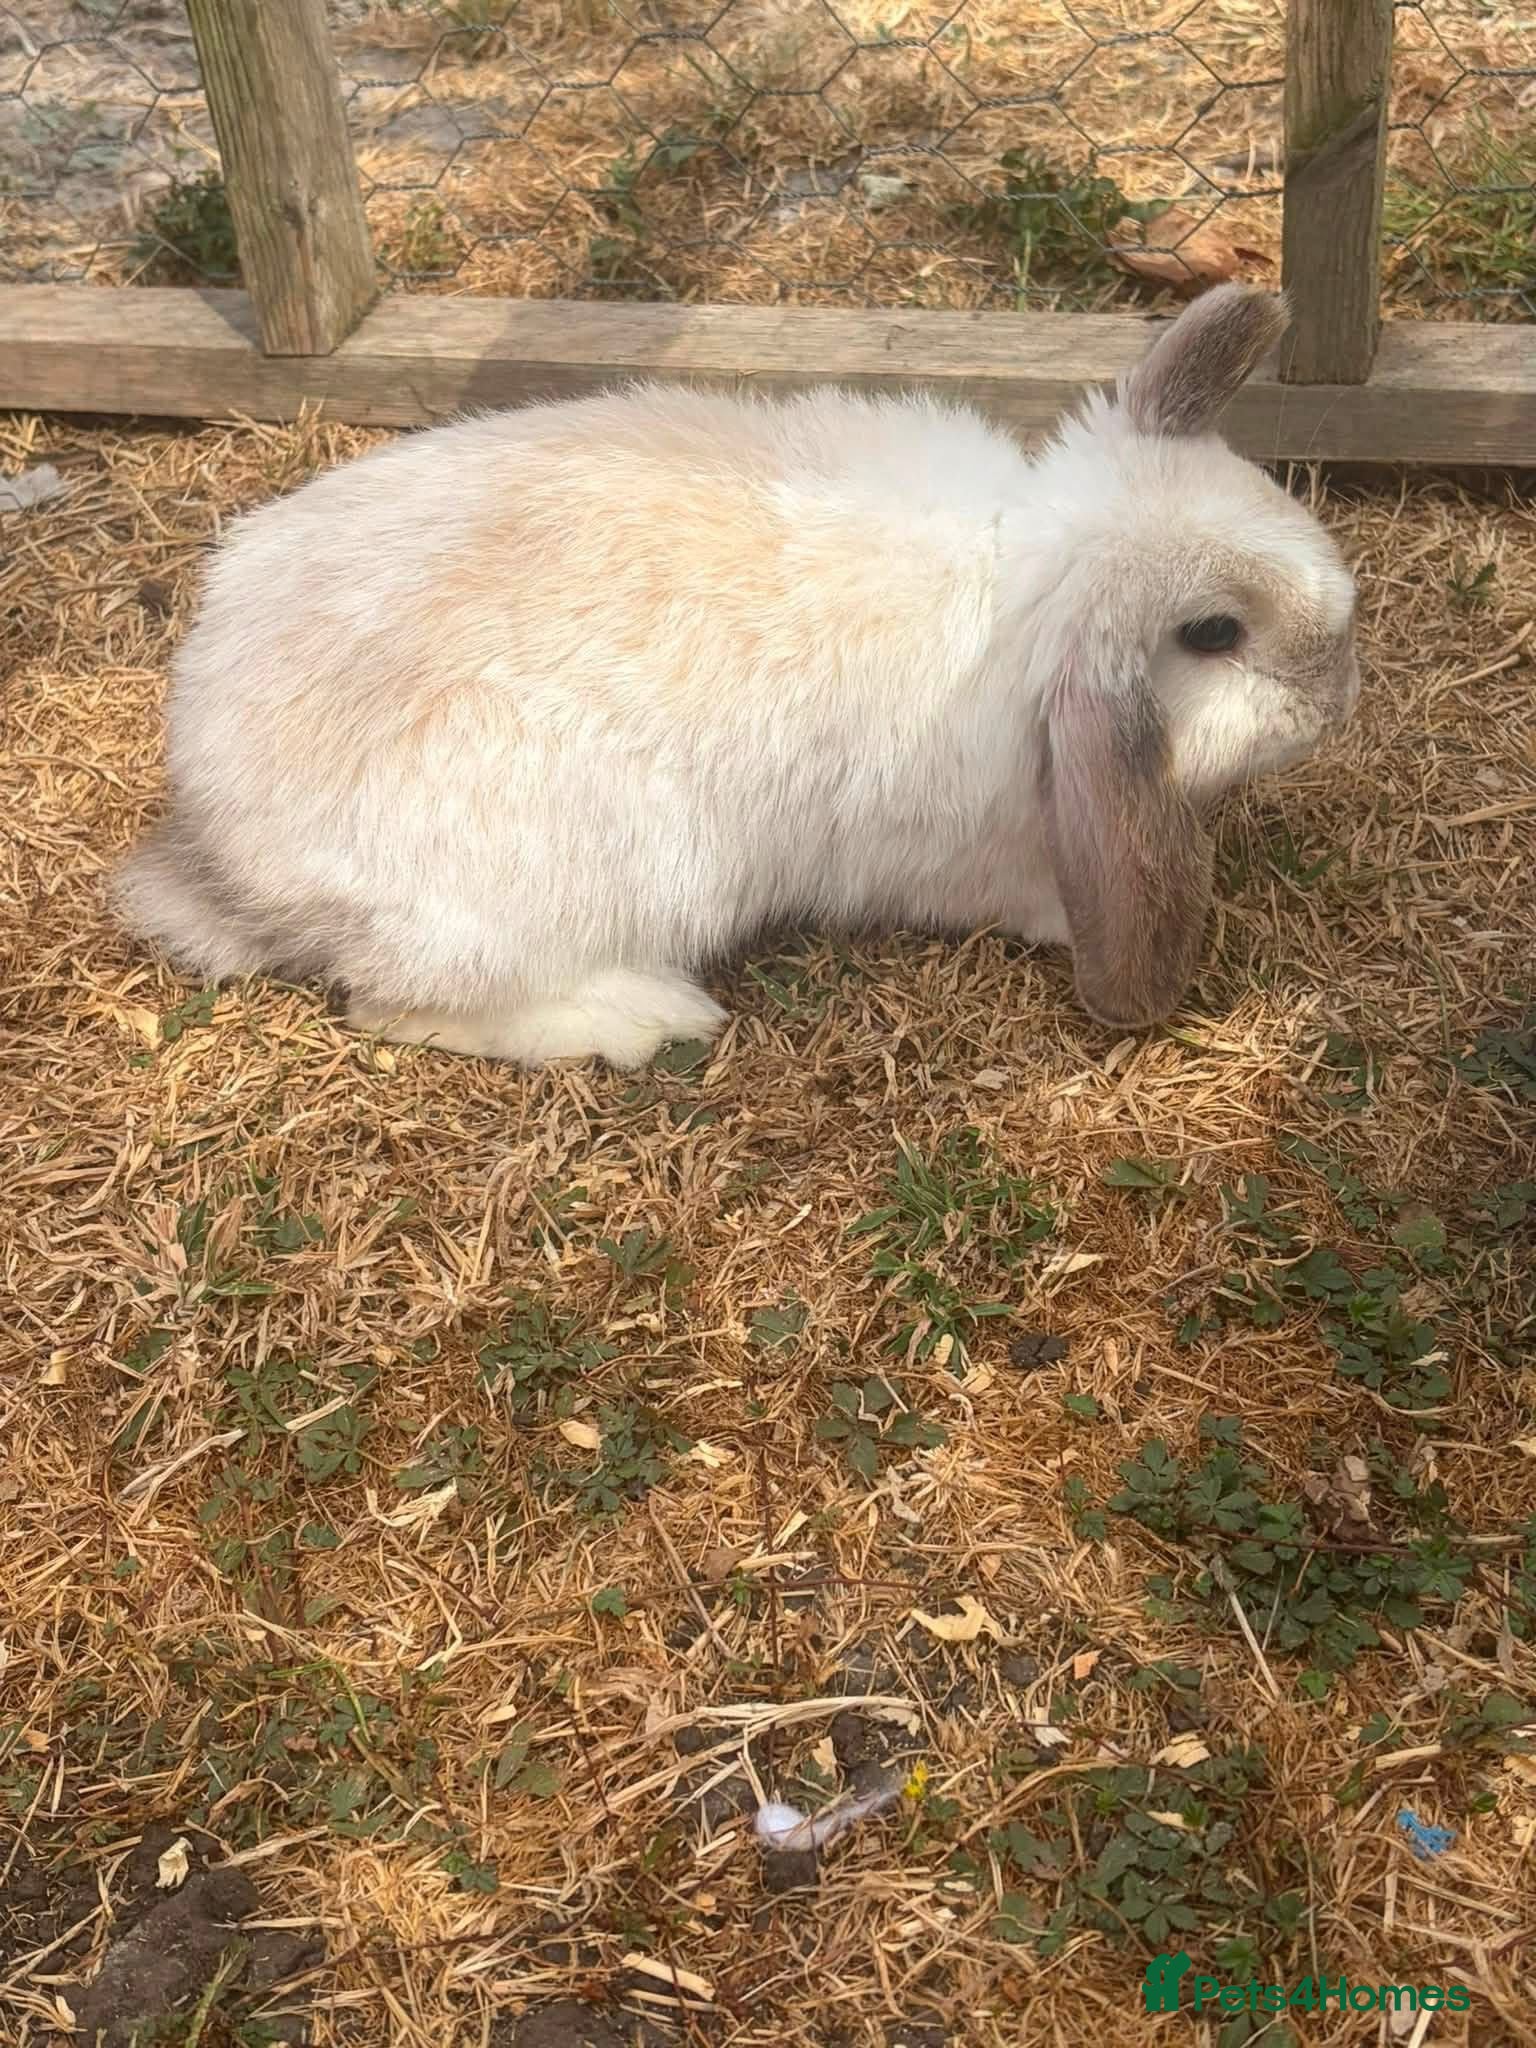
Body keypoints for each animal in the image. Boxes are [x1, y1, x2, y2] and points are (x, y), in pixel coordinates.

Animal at [114, 282, 1359, 1070]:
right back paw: (638, 1017)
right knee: (397, 1003)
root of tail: (220, 852)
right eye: (1213, 634)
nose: (1339, 680)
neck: (1029, 584)